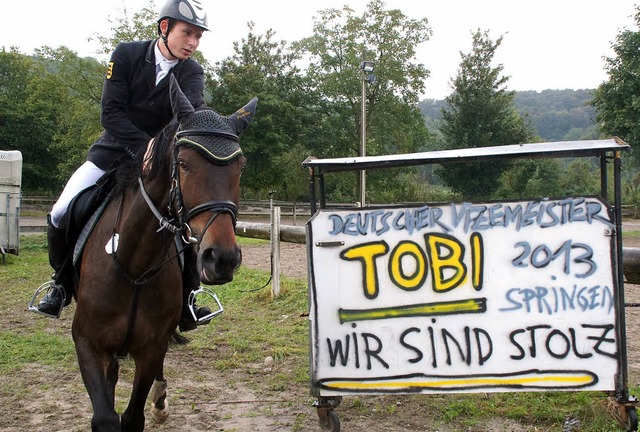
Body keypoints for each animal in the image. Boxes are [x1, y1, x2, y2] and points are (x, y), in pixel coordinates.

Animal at [72, 76, 255, 430]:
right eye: (183, 164)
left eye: (240, 168)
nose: (223, 259)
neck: (134, 266)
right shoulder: (87, 342)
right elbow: (104, 416)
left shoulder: (152, 346)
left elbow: (133, 416)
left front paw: (153, 403)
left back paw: (159, 400)